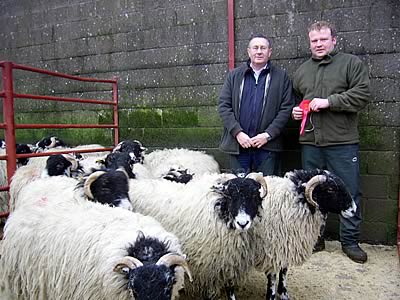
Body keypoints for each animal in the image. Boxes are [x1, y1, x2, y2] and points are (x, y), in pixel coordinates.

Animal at [128, 172, 266, 298]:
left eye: (254, 195)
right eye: (230, 196)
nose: (243, 223)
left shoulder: (230, 265)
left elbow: (230, 290)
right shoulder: (208, 270)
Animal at [255, 169, 358, 300]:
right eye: (330, 189)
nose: (354, 210)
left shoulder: (287, 246)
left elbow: (284, 272)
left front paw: (284, 294)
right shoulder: (272, 251)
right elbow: (273, 277)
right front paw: (271, 295)